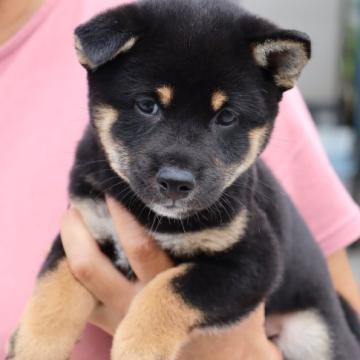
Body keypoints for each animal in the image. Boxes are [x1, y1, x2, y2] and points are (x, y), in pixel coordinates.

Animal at [7, 0, 360, 360]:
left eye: (226, 117)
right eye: (147, 105)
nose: (176, 183)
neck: (151, 216)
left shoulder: (252, 260)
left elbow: (168, 291)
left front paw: (138, 348)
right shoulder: (85, 228)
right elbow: (52, 291)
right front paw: (32, 348)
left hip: (317, 337)